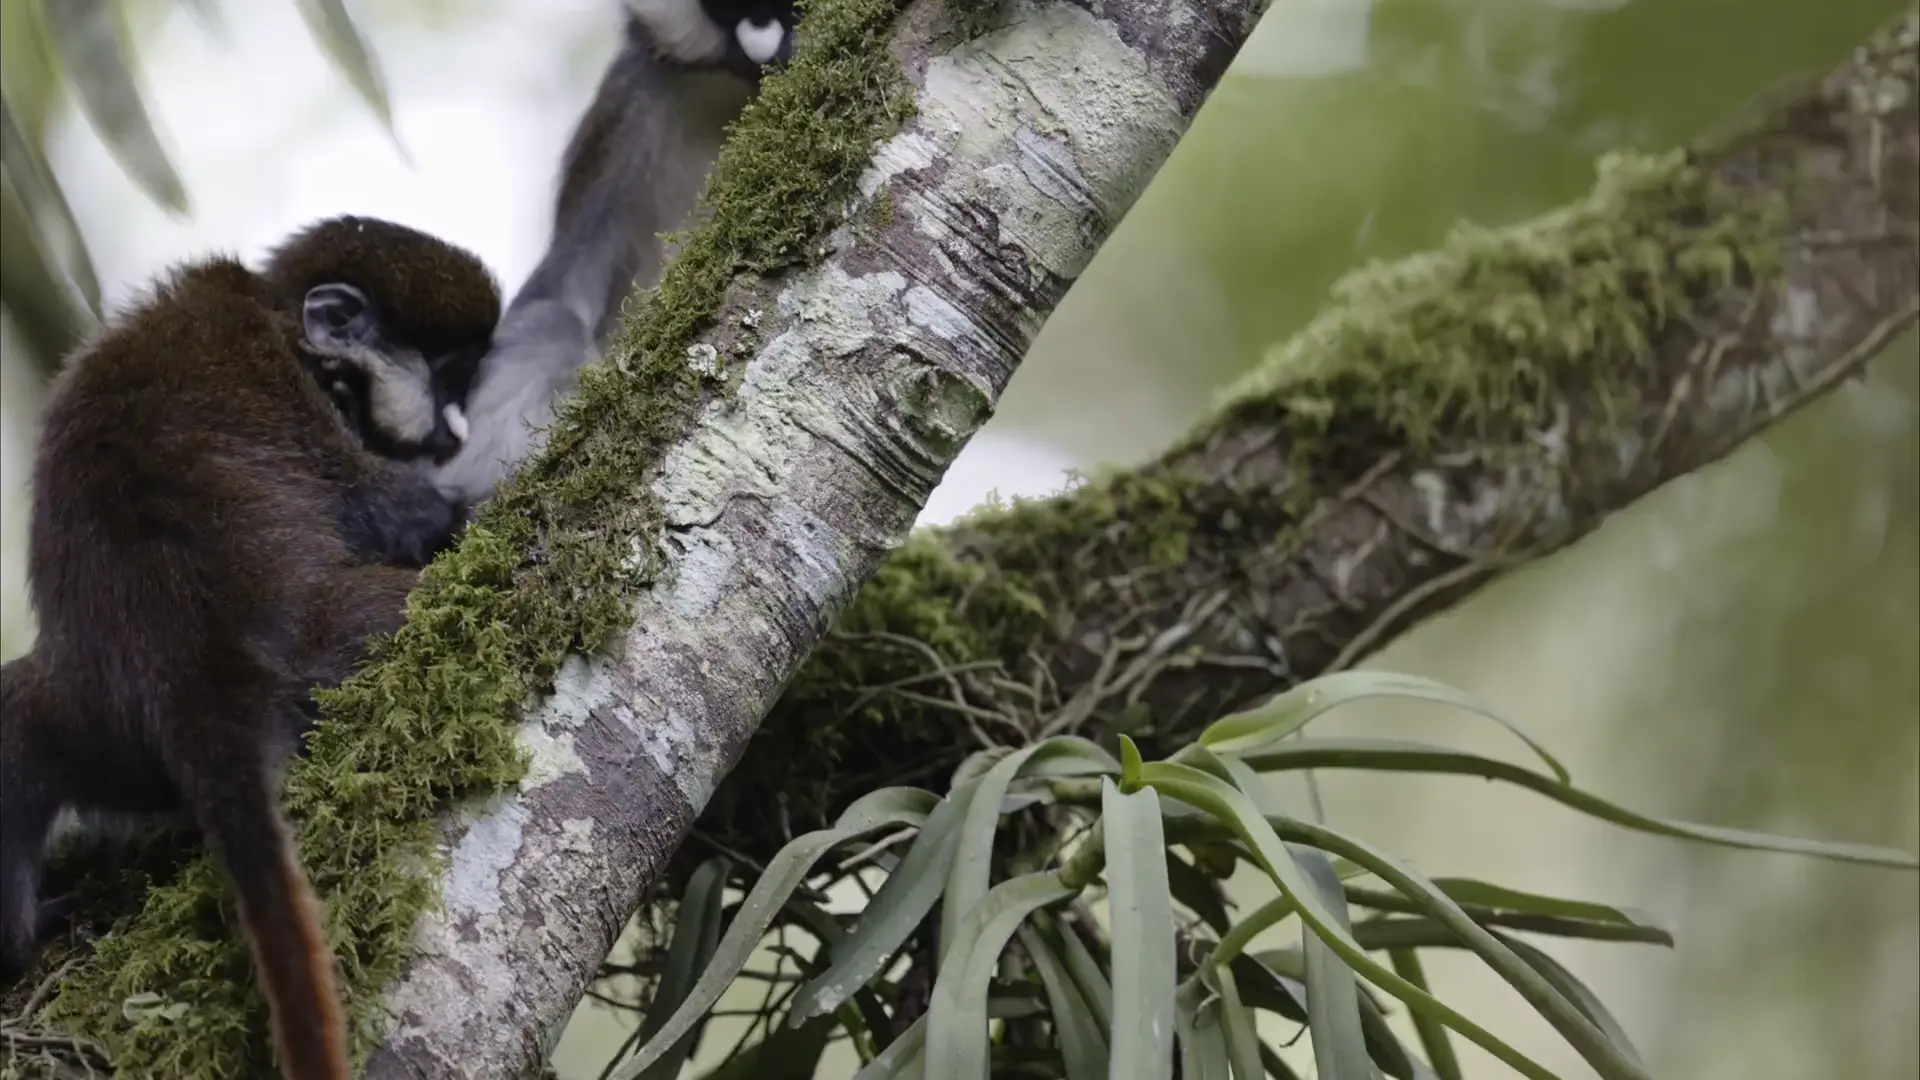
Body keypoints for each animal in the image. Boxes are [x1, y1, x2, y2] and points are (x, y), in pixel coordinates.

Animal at [0, 215, 501, 1080]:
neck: (281, 316)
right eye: (452, 375)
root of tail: (196, 681)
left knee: (15, 720)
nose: (455, 429)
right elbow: (403, 513)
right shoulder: (291, 389)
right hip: (342, 641)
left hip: (101, 741)